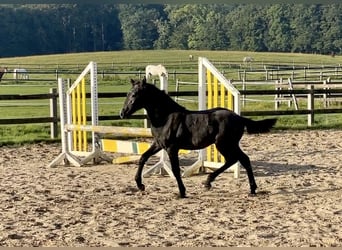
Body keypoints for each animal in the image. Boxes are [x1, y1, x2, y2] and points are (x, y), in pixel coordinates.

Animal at [119, 77, 276, 198]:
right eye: (128, 93)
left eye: (134, 94)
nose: (122, 113)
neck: (166, 117)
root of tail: (239, 118)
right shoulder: (158, 144)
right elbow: (143, 157)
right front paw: (140, 185)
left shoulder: (171, 148)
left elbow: (175, 170)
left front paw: (182, 192)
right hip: (228, 144)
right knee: (242, 159)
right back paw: (249, 189)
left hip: (224, 144)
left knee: (236, 159)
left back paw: (210, 182)